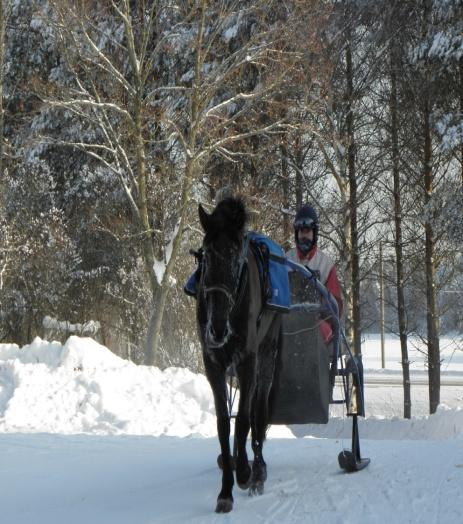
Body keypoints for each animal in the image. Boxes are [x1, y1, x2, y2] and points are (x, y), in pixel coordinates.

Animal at [197, 196, 282, 512]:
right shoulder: (213, 362)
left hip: (267, 354)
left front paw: (244, 472)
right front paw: (225, 491)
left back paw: (257, 471)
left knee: (258, 411)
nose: (218, 328)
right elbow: (224, 424)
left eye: (236, 257)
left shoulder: (248, 360)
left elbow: (245, 418)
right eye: (206, 255)